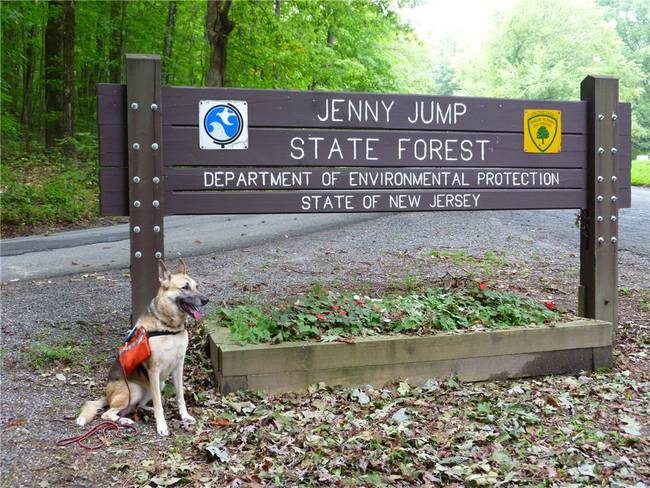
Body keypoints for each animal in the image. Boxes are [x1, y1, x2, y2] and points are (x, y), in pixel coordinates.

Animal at [75, 260, 208, 434]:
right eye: (185, 287)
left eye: (196, 286)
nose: (206, 300)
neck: (168, 327)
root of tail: (107, 395)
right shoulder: (154, 370)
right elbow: (158, 403)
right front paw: (161, 425)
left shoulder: (178, 367)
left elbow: (180, 396)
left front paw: (184, 416)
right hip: (135, 389)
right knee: (108, 413)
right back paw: (125, 420)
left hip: (157, 385)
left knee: (138, 406)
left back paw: (143, 411)